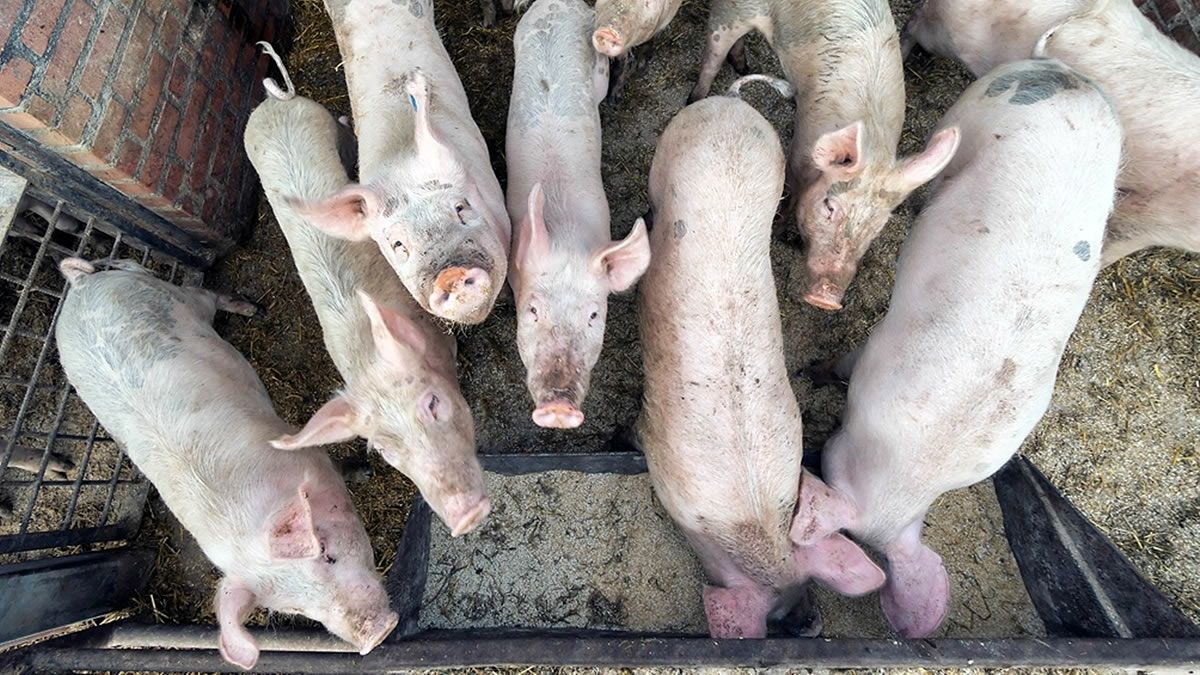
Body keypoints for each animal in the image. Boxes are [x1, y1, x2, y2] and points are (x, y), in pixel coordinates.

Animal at [54, 258, 398, 670]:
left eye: (329, 556)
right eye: (296, 609)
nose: (376, 635)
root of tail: (80, 285)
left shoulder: (310, 452)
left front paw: (364, 472)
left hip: (174, 297)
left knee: (202, 293)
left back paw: (253, 310)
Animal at [637, 93, 885, 639]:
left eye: (808, 585)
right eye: (776, 621)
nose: (811, 624)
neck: (747, 520)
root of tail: (729, 102)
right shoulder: (656, 449)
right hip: (669, 149)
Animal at [688, 0, 961, 311]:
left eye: (877, 227)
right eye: (829, 206)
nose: (827, 298)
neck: (873, 143)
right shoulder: (799, 150)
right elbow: (791, 192)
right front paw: (778, 227)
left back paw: (743, 66)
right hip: (732, 11)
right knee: (714, 50)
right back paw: (695, 96)